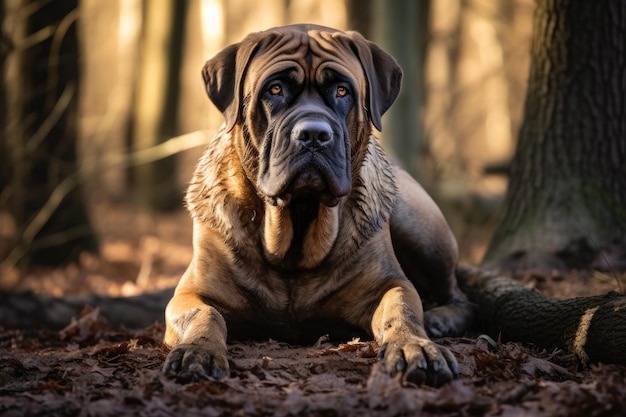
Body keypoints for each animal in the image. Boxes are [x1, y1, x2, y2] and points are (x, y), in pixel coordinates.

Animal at [163, 24, 470, 386]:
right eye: (275, 89)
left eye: (342, 91)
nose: (313, 134)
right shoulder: (191, 293)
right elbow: (205, 314)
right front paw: (198, 349)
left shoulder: (389, 284)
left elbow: (402, 310)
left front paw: (415, 346)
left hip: (420, 229)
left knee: (460, 296)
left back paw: (440, 319)